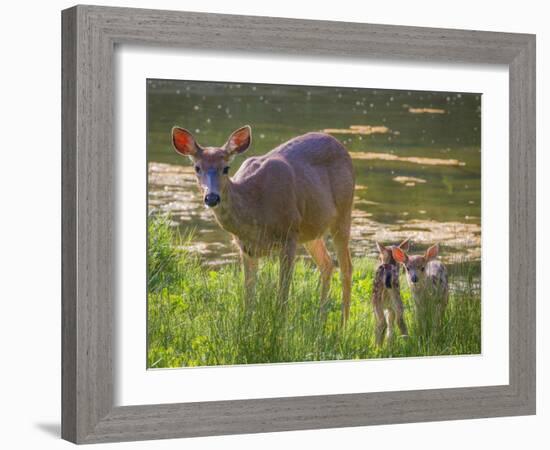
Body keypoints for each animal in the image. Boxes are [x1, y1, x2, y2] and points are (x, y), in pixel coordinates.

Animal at [170, 125, 358, 324]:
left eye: (226, 168)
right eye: (197, 168)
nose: (212, 197)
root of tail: (340, 146)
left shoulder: (289, 234)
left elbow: (282, 293)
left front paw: (280, 327)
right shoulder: (246, 247)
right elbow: (248, 296)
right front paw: (246, 325)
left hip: (343, 212)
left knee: (346, 267)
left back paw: (343, 324)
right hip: (311, 229)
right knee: (327, 264)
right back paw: (320, 321)